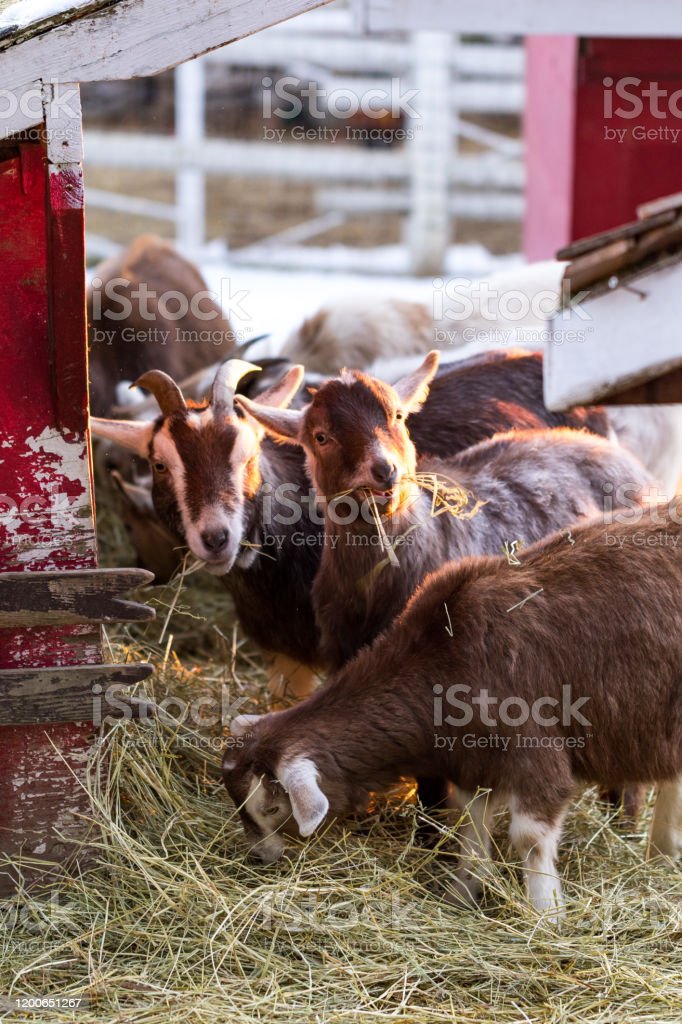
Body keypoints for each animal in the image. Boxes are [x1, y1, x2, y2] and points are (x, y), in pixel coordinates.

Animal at [222, 497, 679, 921]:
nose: (261, 858)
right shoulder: (474, 762)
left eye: (272, 808)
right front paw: (461, 894)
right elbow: (472, 829)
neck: (443, 657)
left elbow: (530, 838)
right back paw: (662, 851)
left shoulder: (534, 754)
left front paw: (546, 917)